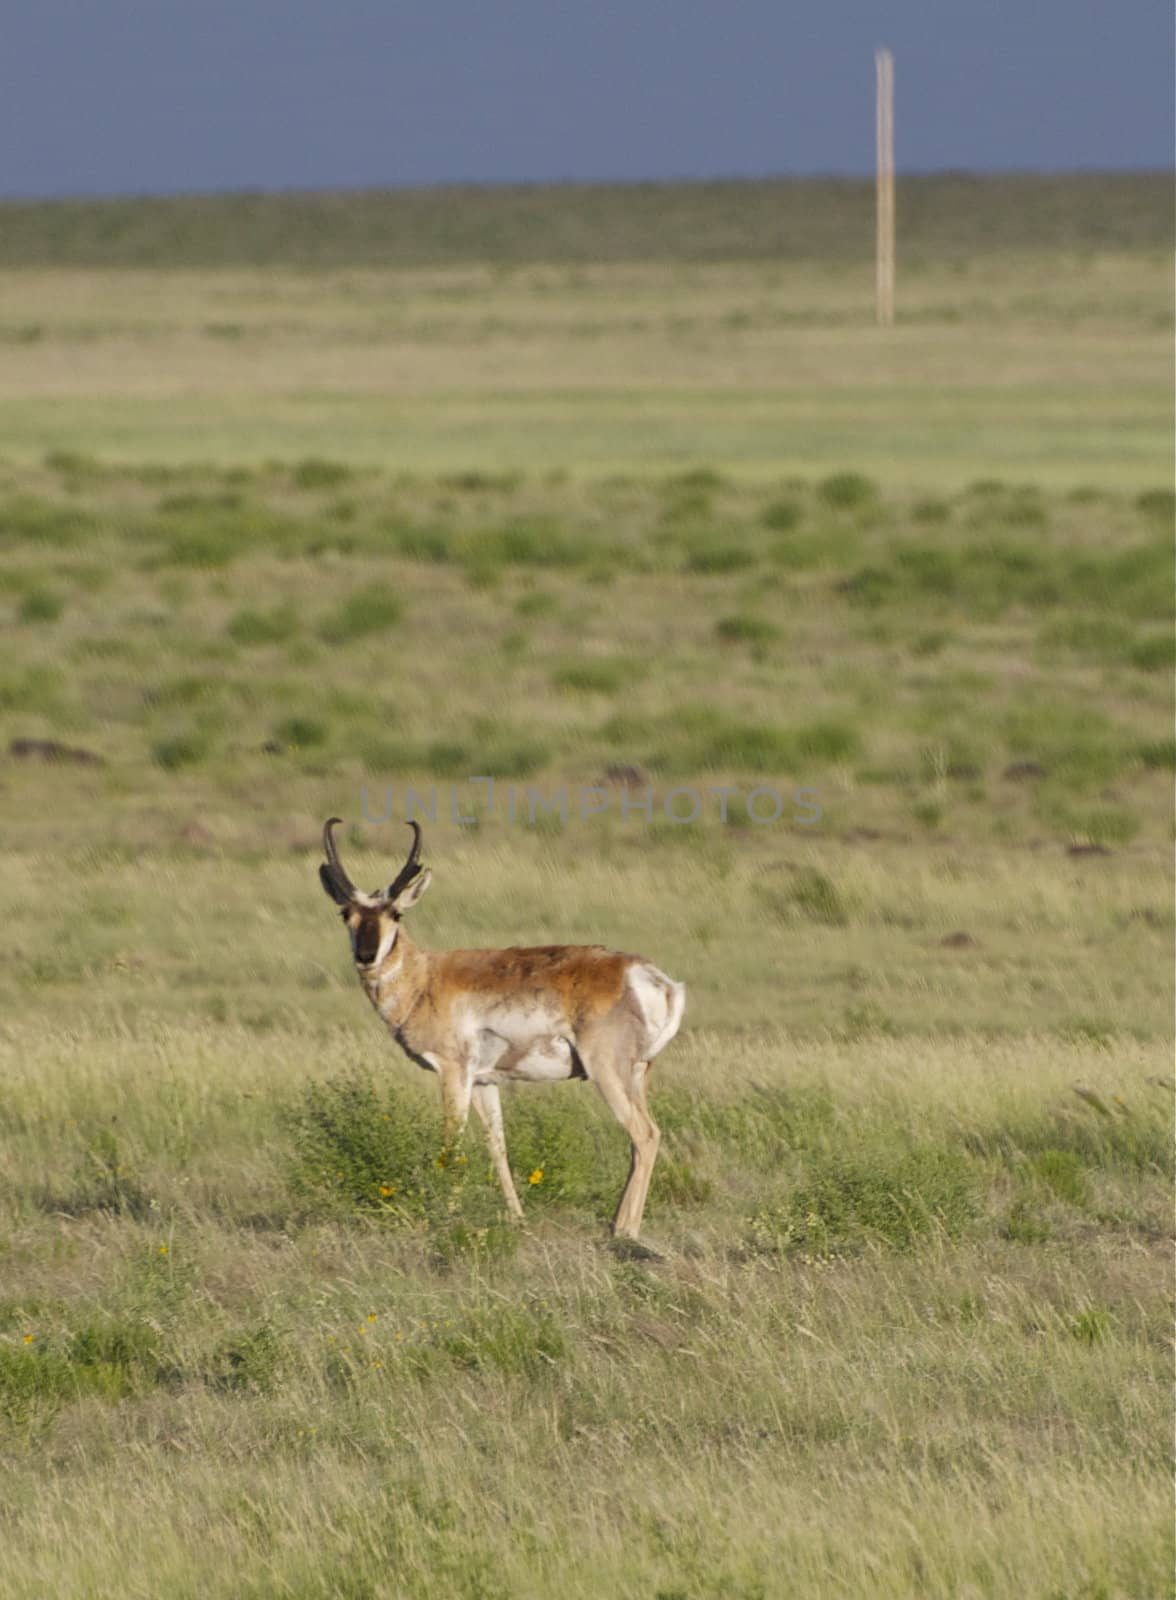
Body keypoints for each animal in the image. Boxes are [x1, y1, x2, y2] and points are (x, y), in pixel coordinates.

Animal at [321, 819, 691, 1241]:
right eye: (345, 913)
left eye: (395, 913)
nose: (366, 956)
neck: (425, 978)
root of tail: (652, 977)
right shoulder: (485, 1082)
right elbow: (497, 1145)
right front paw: (517, 1219)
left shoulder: (453, 1073)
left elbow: (452, 1146)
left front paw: (445, 1217)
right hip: (637, 1075)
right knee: (638, 1140)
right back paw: (617, 1224)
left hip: (607, 1073)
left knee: (645, 1134)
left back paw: (624, 1231)